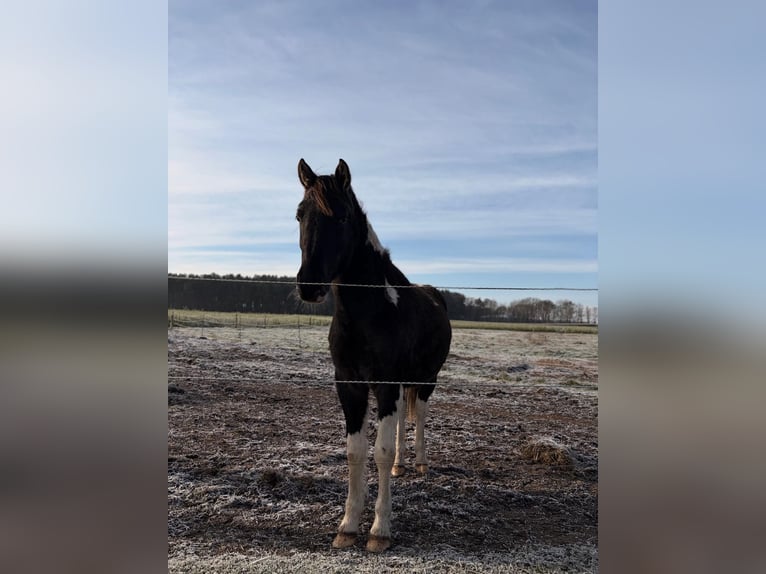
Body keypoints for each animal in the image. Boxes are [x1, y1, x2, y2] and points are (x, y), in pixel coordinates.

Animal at [295, 158, 452, 552]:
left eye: (342, 218)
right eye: (300, 214)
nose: (309, 286)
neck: (371, 309)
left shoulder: (384, 383)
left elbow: (379, 451)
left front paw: (380, 530)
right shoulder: (349, 384)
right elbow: (356, 451)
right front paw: (348, 526)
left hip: (426, 380)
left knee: (419, 416)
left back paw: (420, 464)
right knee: (400, 431)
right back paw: (401, 466)